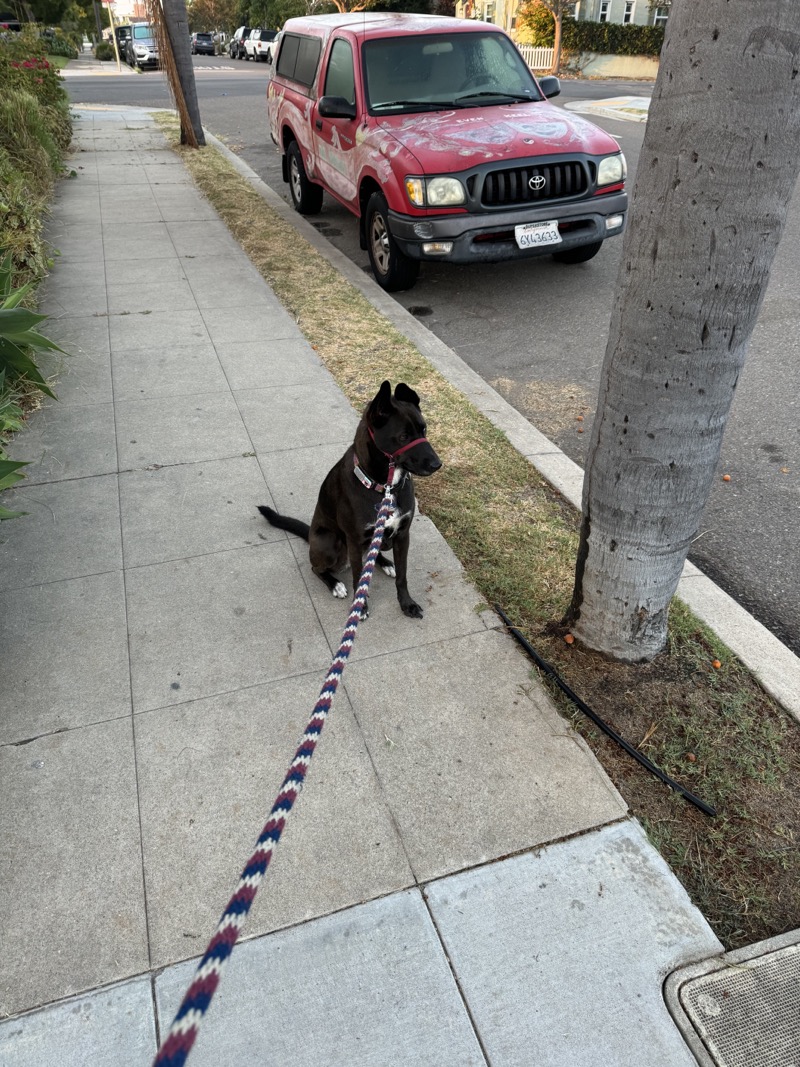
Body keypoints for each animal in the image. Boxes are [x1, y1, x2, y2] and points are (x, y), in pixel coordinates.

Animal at [258, 381, 441, 618]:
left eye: (424, 429)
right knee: (316, 568)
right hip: (330, 543)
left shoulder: (402, 535)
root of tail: (310, 535)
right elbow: (357, 577)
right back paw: (335, 584)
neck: (385, 487)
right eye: (403, 437)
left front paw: (406, 603)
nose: (437, 464)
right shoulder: (354, 540)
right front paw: (360, 606)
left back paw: (385, 563)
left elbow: (402, 576)